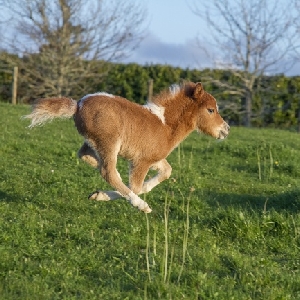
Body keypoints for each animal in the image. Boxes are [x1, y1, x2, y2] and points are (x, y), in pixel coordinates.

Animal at [24, 81, 230, 213]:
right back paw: (139, 204)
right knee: (108, 172)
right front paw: (131, 200)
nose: (226, 130)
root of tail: (78, 105)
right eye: (211, 110)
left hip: (95, 142)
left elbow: (166, 171)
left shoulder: (153, 158)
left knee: (86, 156)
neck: (165, 125)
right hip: (109, 142)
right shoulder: (142, 161)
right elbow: (135, 187)